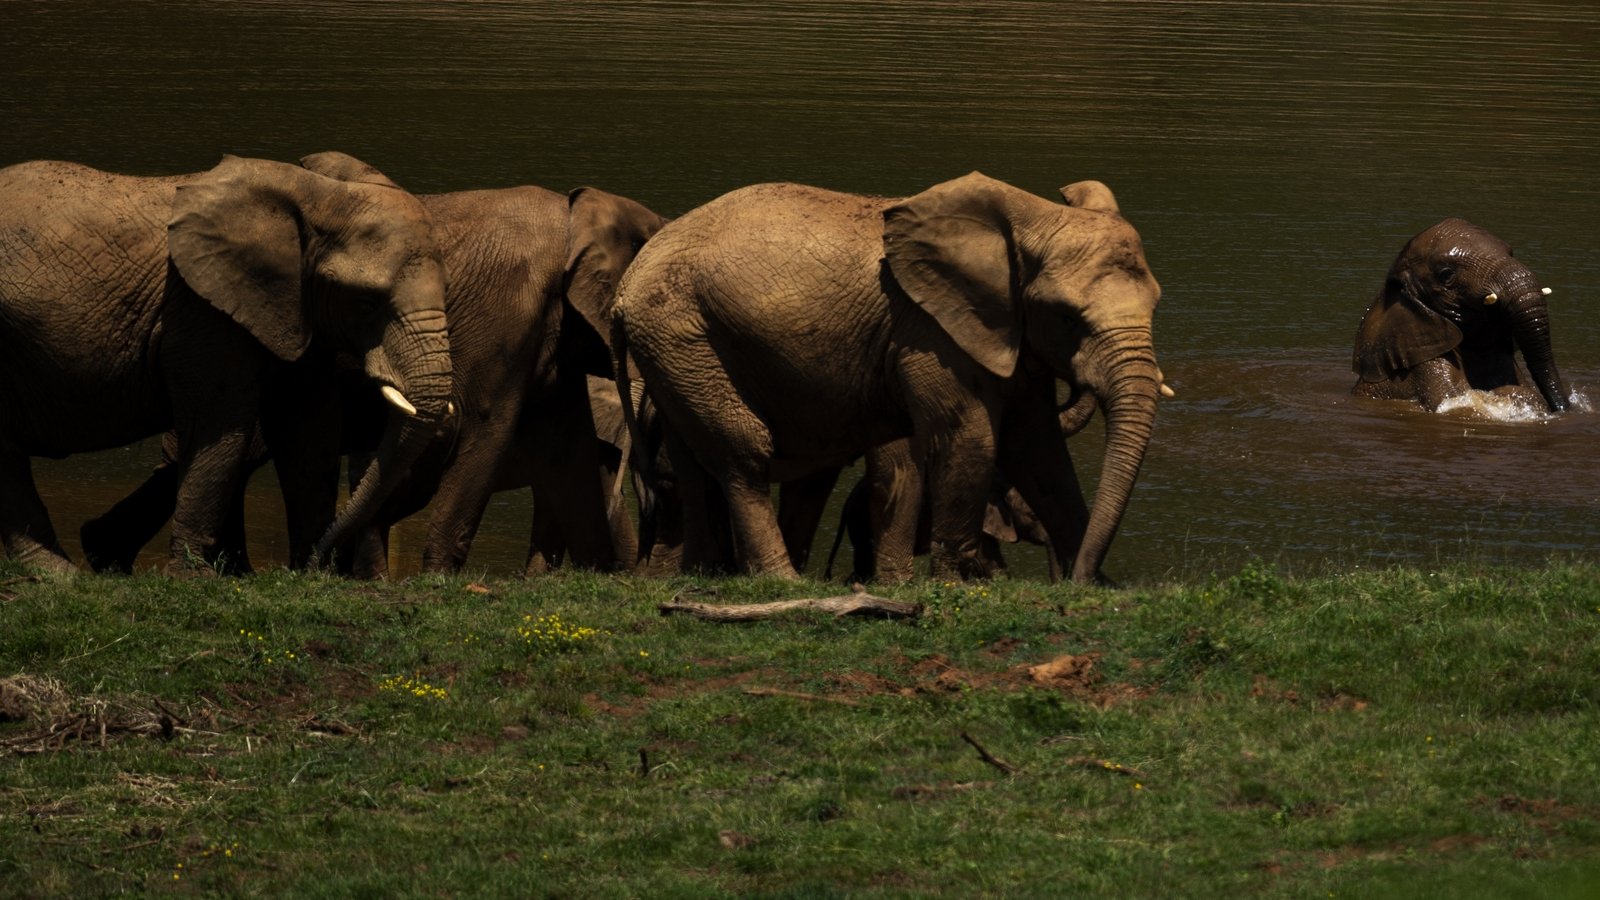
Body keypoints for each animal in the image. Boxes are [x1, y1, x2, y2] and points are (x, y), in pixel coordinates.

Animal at [0, 156, 454, 570]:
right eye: (366, 301)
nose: (325, 557)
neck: (317, 194)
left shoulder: (291, 306)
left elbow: (309, 428)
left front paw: (311, 574)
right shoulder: (200, 308)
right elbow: (218, 424)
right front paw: (190, 579)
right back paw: (60, 578)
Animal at [611, 170, 1164, 582]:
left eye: (1157, 302)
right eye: (1067, 317)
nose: (1078, 579)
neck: (1029, 217)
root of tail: (623, 289)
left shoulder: (1005, 328)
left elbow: (1038, 448)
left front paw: (1099, 587)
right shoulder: (931, 329)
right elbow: (970, 436)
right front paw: (959, 585)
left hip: (674, 351)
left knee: (692, 464)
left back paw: (708, 575)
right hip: (681, 332)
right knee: (743, 451)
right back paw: (782, 582)